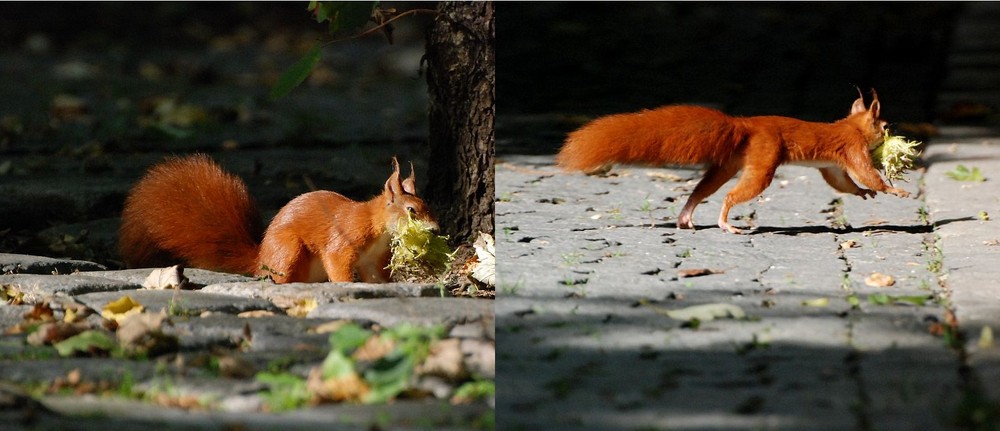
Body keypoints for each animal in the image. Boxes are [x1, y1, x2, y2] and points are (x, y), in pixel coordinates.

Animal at [115, 155, 436, 284]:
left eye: (427, 204)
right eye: (412, 210)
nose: (435, 229)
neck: (377, 225)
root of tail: (260, 259)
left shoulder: (372, 258)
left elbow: (376, 275)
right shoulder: (344, 240)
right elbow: (337, 262)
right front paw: (348, 285)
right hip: (289, 250)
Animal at [560, 89, 912, 235]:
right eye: (884, 125)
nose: (891, 131)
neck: (850, 126)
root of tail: (744, 126)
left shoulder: (832, 166)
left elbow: (843, 183)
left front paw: (863, 193)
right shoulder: (853, 149)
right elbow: (866, 173)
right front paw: (895, 191)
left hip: (728, 165)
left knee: (699, 192)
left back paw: (686, 217)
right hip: (764, 161)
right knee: (731, 196)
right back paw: (725, 223)